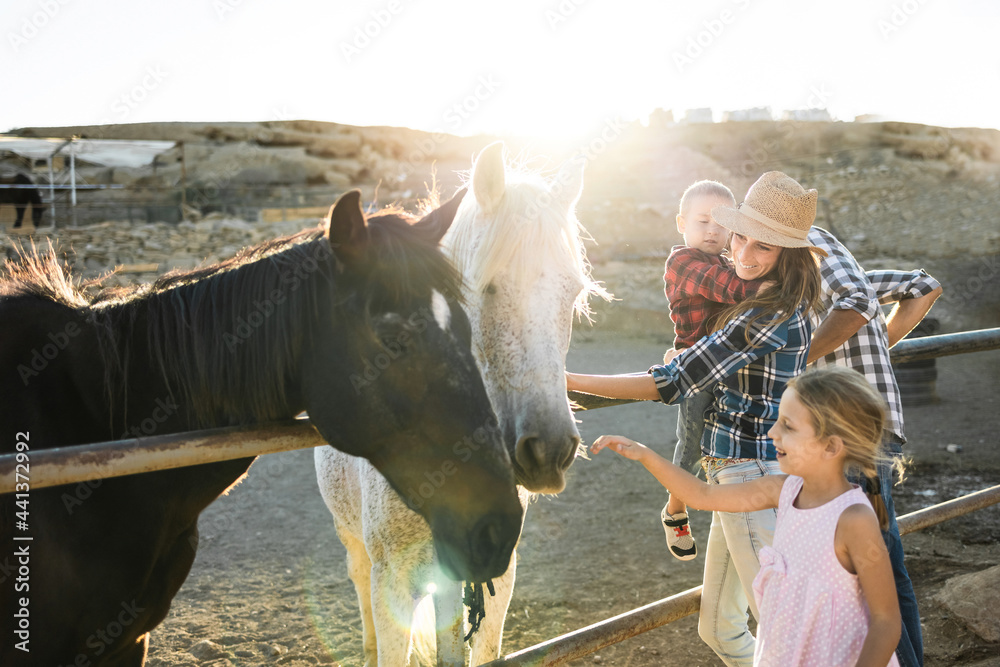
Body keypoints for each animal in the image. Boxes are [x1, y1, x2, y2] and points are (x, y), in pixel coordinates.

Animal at [316, 142, 604, 667]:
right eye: (486, 287)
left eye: (572, 294)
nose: (549, 450)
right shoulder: (392, 579)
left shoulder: (496, 569)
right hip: (354, 542)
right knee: (359, 584)